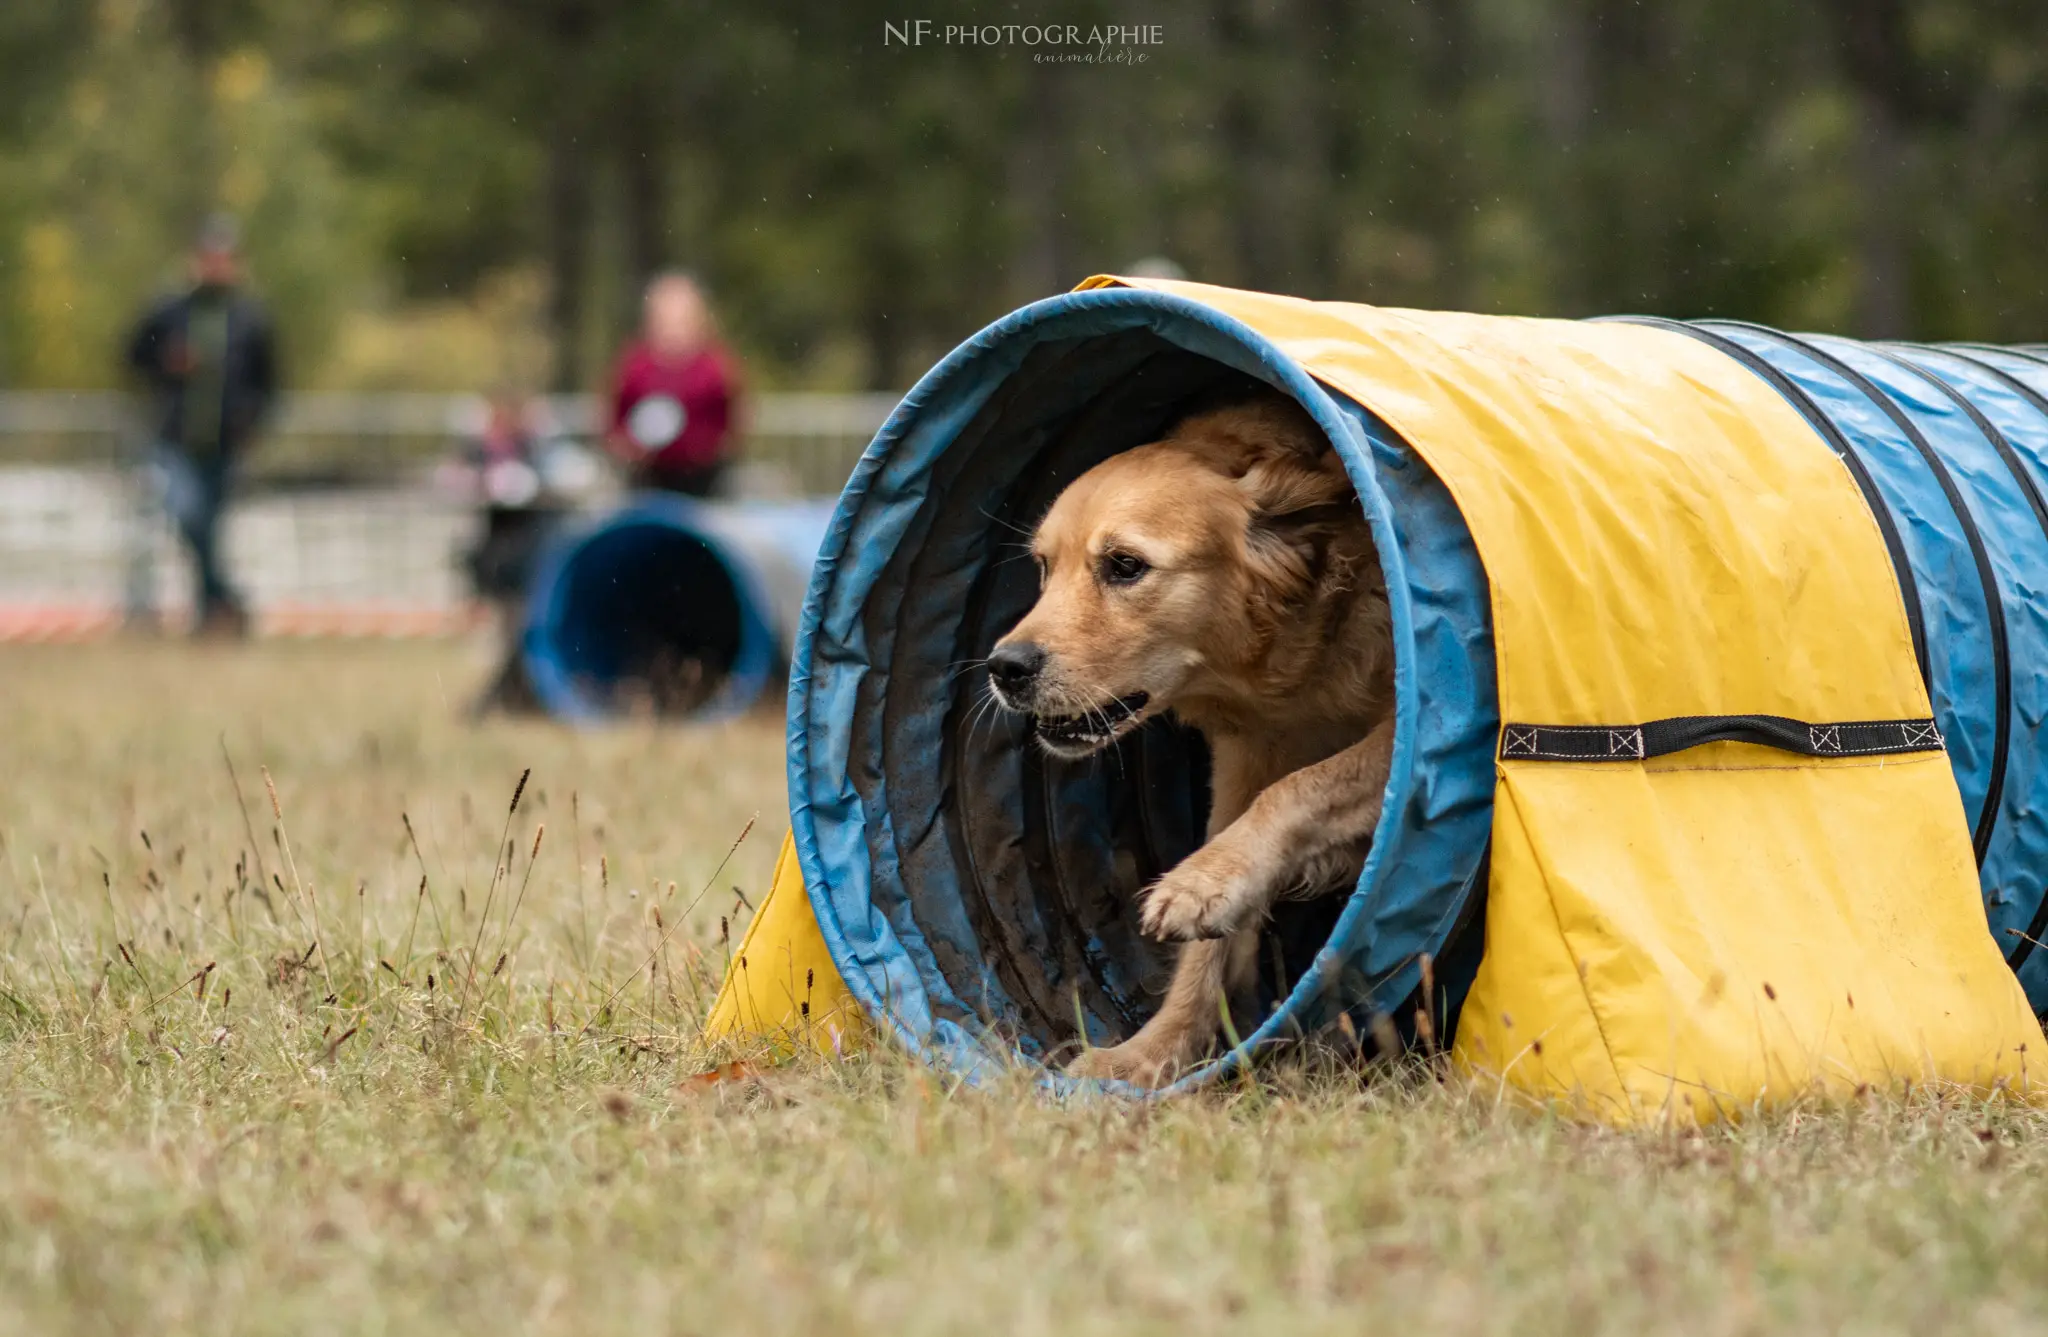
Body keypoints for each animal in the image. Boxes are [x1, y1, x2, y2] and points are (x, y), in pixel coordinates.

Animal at [983, 389, 1400, 1081]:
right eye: (1044, 566)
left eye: (1125, 565)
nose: (1004, 668)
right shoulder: (1242, 760)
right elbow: (1207, 949)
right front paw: (1151, 1054)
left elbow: (1302, 789)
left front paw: (1203, 885)